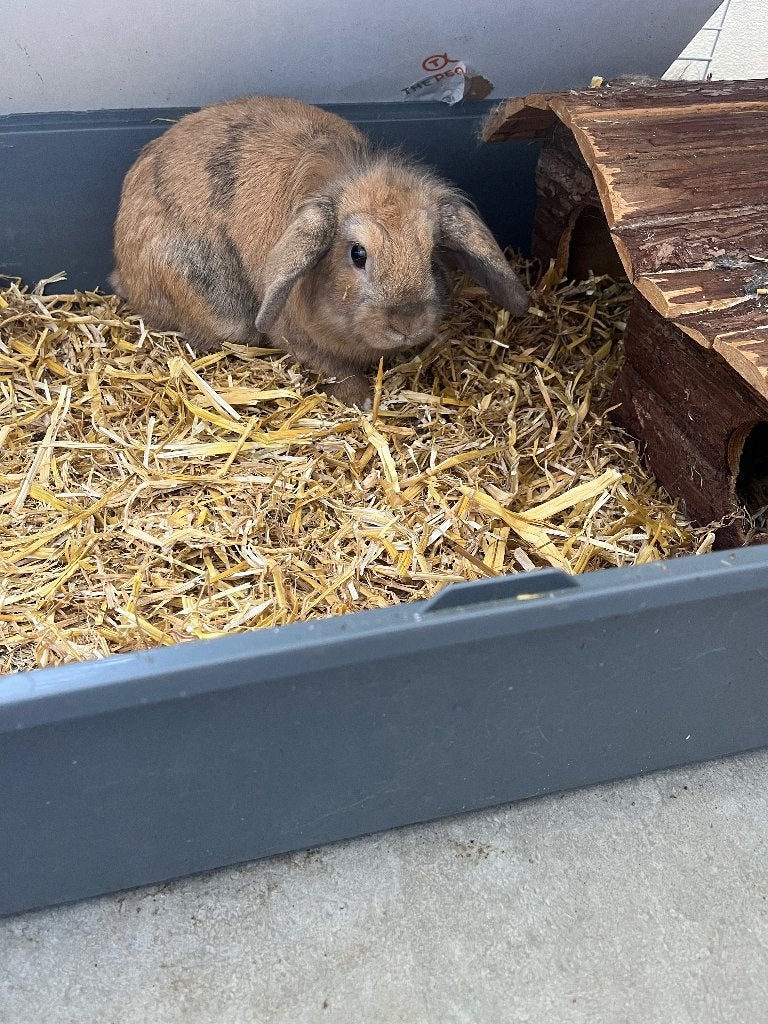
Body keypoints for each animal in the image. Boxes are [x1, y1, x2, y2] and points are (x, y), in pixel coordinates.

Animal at [110, 95, 530, 408]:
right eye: (357, 254)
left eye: (430, 253)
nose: (407, 322)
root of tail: (122, 271)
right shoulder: (301, 341)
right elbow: (337, 371)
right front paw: (361, 401)